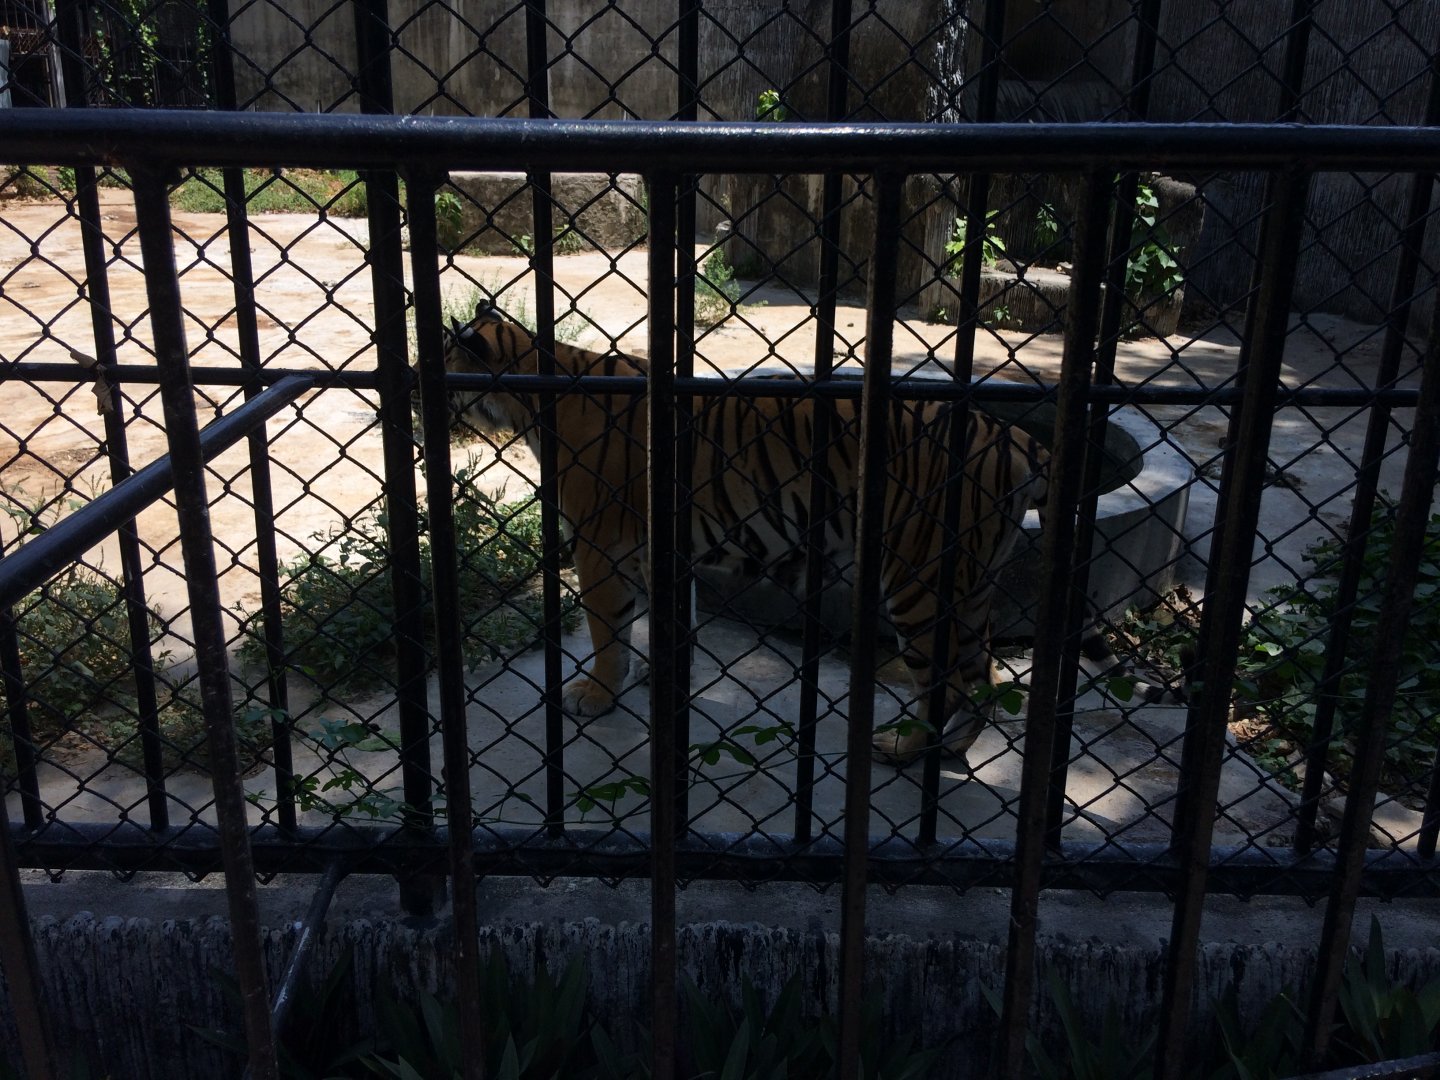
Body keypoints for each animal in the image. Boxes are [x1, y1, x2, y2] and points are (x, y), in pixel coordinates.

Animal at [439, 303, 1171, 767]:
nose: (421, 403)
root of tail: (1011, 433)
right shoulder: (651, 546)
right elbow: (664, 619)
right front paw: (655, 675)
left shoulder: (599, 543)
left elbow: (607, 629)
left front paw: (595, 695)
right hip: (973, 580)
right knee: (983, 675)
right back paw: (945, 756)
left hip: (920, 582)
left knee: (951, 684)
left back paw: (902, 752)